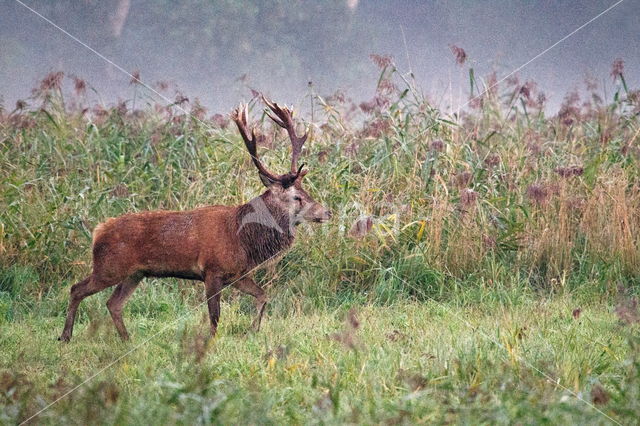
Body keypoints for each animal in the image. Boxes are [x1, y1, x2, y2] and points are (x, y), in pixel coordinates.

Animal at [60, 97, 332, 342]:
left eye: (307, 191)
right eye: (297, 197)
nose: (327, 212)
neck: (243, 239)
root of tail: (97, 231)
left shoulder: (237, 274)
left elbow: (263, 296)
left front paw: (254, 330)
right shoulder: (212, 270)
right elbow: (215, 315)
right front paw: (211, 342)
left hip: (135, 273)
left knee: (113, 303)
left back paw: (126, 339)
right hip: (109, 266)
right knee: (77, 289)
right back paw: (66, 335)